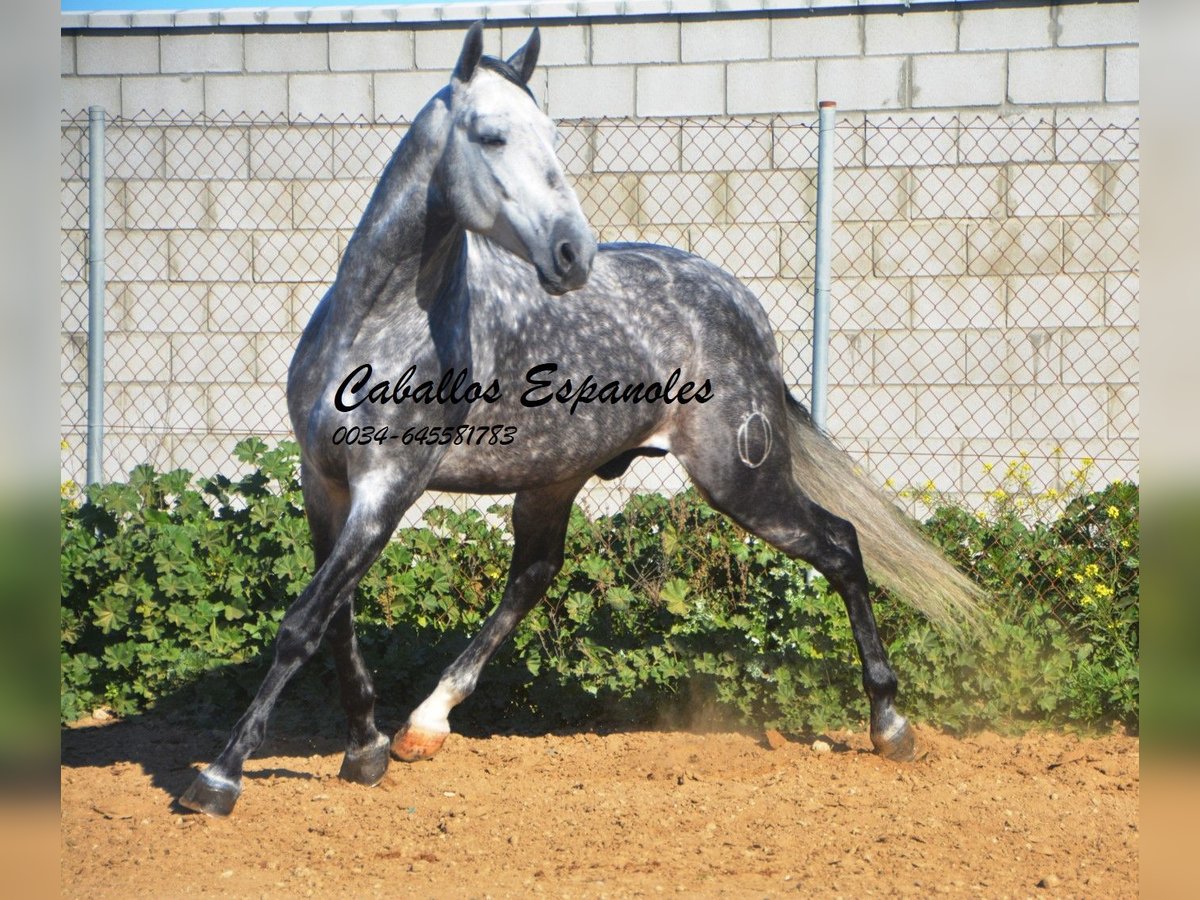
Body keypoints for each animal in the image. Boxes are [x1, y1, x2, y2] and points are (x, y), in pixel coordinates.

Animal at [180, 24, 984, 820]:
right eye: (492, 135)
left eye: (553, 135)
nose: (572, 252)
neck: (375, 323)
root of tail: (744, 306)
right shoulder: (325, 483)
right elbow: (333, 619)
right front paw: (365, 750)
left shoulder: (390, 485)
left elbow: (302, 625)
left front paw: (218, 779)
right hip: (557, 479)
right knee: (533, 578)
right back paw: (423, 727)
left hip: (740, 479)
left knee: (842, 547)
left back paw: (891, 726)